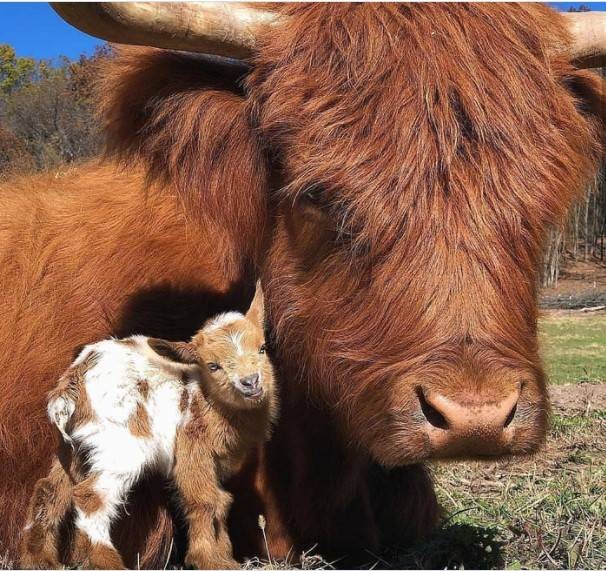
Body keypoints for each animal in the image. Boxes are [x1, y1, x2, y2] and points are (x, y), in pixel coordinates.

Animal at [17, 288, 276, 568]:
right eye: (213, 365)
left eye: (262, 348)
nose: (250, 382)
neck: (205, 396)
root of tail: (71, 384)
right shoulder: (191, 448)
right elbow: (205, 500)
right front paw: (211, 560)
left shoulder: (214, 461)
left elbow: (220, 501)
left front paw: (223, 557)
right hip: (122, 448)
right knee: (89, 496)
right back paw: (108, 563)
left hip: (75, 449)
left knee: (49, 489)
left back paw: (39, 560)